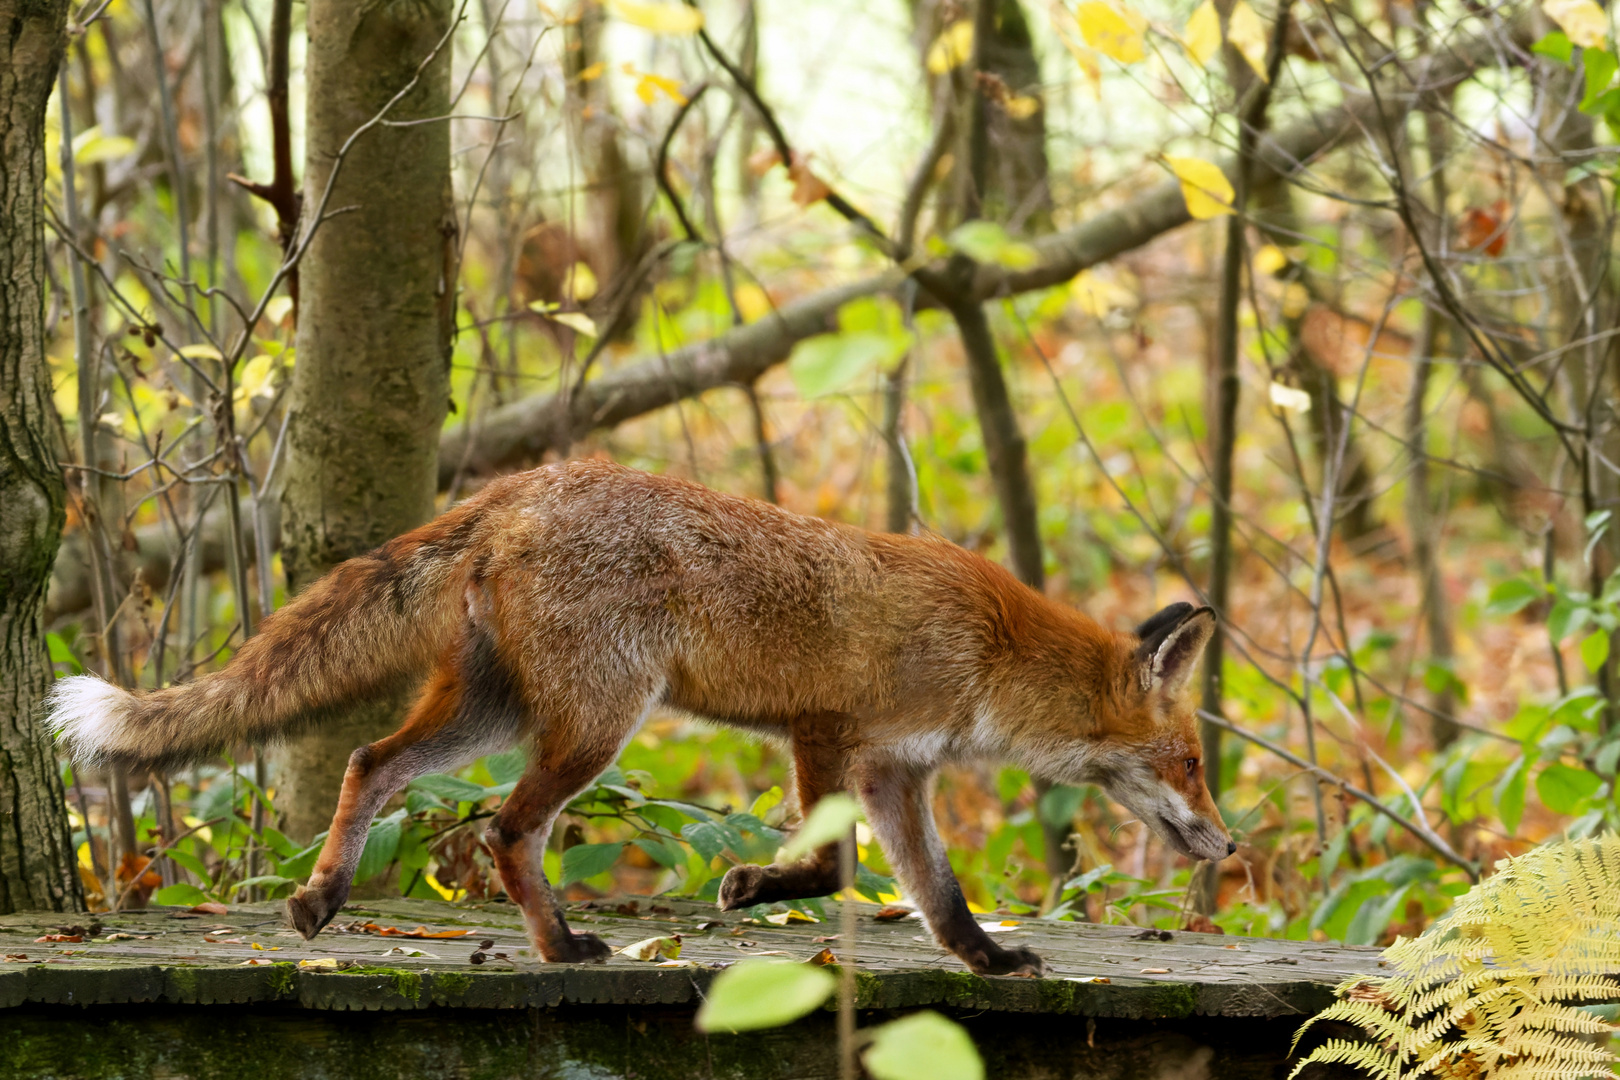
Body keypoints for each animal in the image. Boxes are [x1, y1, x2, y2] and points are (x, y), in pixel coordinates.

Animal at [47, 459, 1224, 977]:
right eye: (1193, 761)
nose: (1227, 844)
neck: (991, 650)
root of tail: (523, 484)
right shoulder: (829, 732)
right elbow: (834, 865)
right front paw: (751, 887)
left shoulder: (896, 770)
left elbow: (926, 887)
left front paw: (982, 958)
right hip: (595, 724)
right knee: (505, 829)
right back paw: (561, 947)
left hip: (497, 712)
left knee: (373, 763)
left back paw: (323, 896)